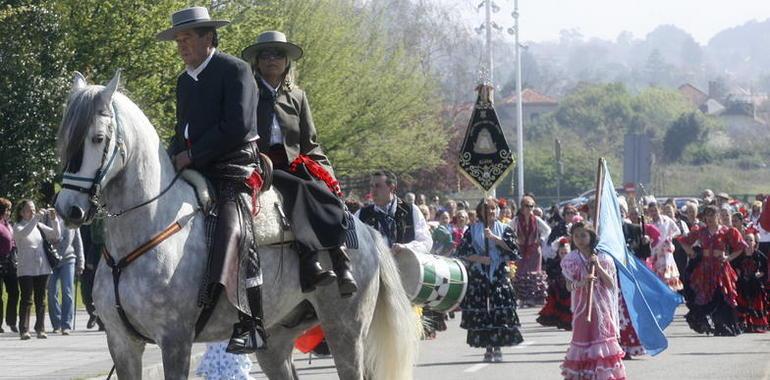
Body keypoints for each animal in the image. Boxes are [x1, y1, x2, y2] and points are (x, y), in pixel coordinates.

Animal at [52, 72, 420, 380]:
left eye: (98, 138)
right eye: (64, 138)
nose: (68, 209)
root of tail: (367, 232)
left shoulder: (175, 339)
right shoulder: (123, 344)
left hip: (345, 329)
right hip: (276, 340)